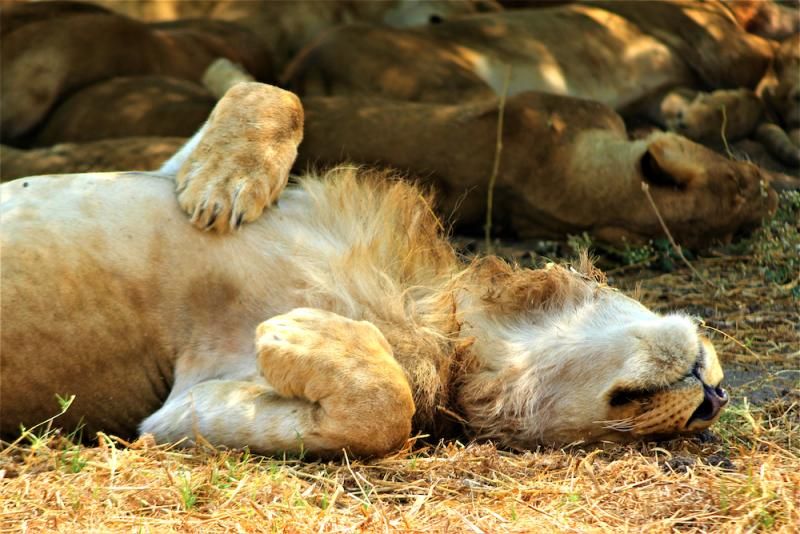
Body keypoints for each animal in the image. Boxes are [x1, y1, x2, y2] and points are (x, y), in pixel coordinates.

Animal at [0, 82, 729, 456]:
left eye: (622, 436)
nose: (712, 405)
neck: (434, 311)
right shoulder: (168, 172)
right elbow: (272, 92)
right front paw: (221, 185)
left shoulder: (173, 408)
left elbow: (387, 413)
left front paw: (302, 334)